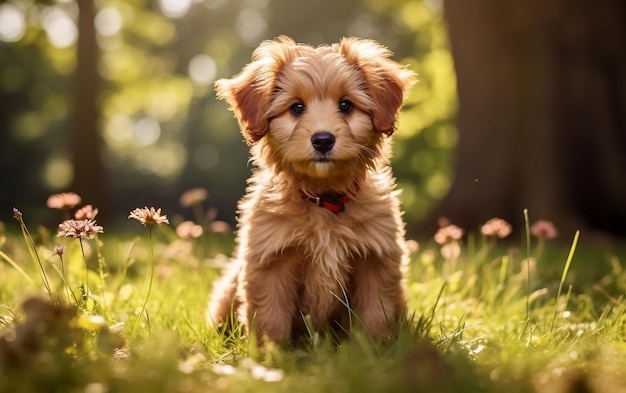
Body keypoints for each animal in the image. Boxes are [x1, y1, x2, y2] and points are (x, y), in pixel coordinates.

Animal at [208, 36, 414, 344]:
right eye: (296, 108)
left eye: (346, 105)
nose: (323, 140)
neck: (324, 200)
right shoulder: (271, 260)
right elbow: (270, 317)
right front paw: (270, 354)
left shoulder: (376, 258)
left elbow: (376, 313)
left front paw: (374, 350)